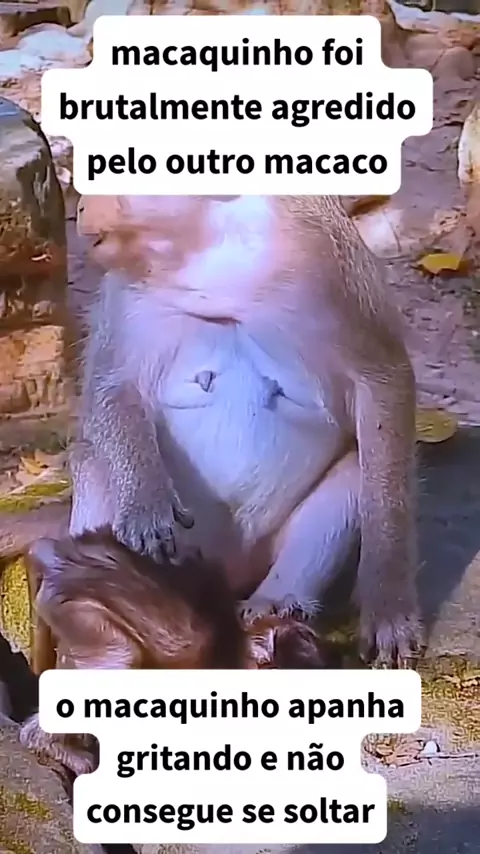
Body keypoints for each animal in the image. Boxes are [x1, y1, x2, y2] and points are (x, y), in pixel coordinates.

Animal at [71, 193, 422, 669]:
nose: (82, 207)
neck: (215, 251)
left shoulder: (335, 273)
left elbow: (384, 385)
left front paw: (388, 607)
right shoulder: (124, 295)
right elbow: (110, 388)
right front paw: (147, 505)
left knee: (354, 469)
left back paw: (274, 604)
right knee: (94, 460)